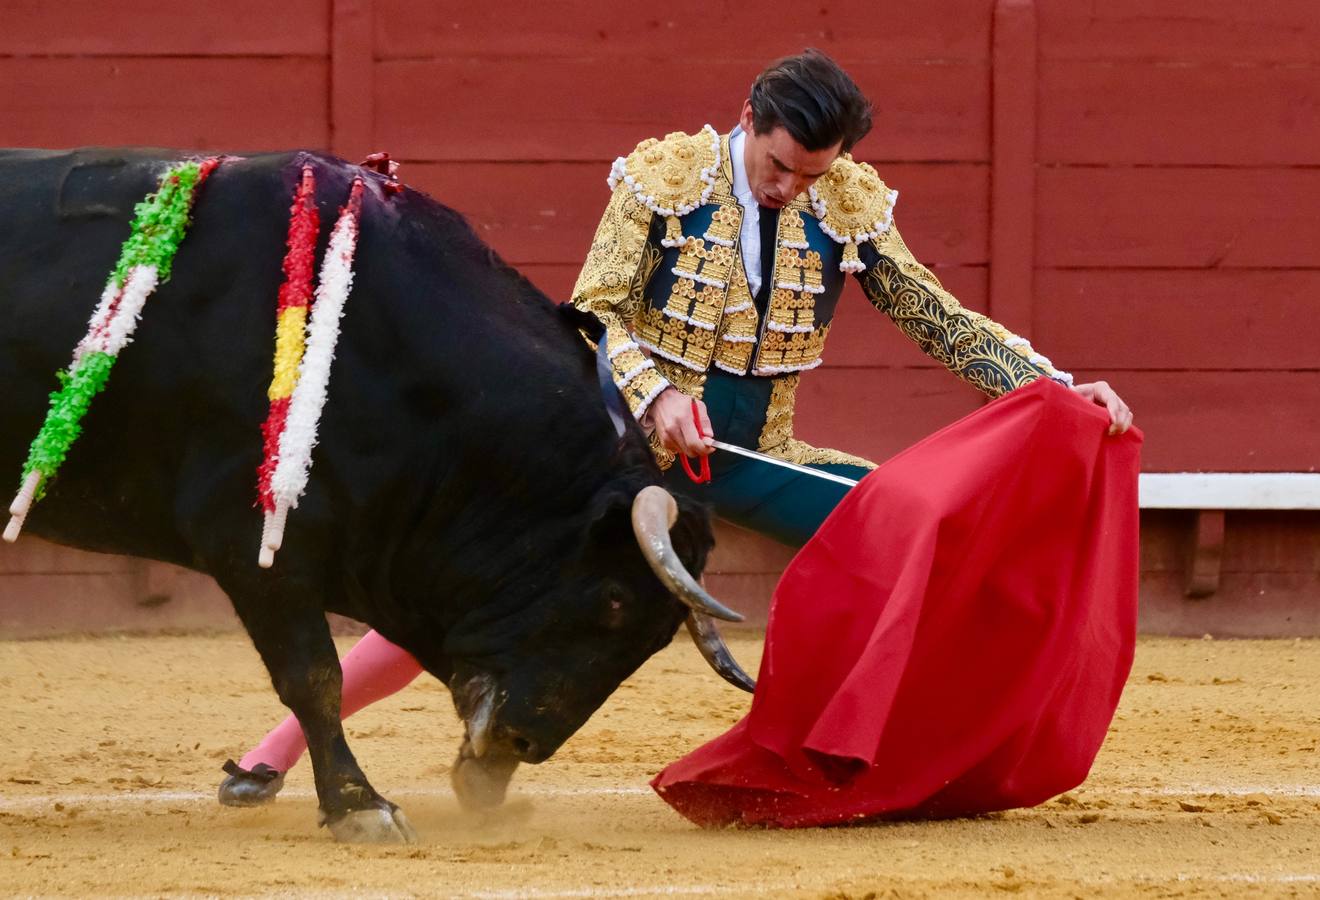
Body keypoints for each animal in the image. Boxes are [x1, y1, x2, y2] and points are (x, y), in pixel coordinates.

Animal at [0, 147, 755, 839]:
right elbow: (314, 676)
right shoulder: (252, 541)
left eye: (657, 641)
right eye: (615, 600)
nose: (518, 747)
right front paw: (359, 807)